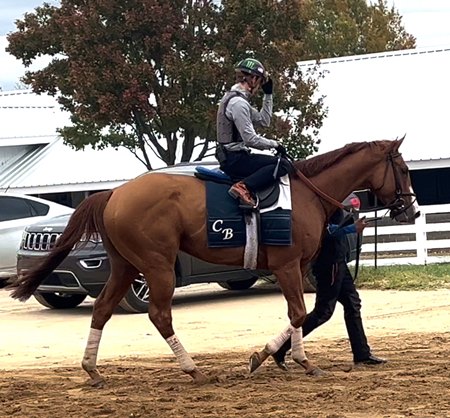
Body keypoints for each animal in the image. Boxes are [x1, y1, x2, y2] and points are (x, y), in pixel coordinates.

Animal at [10, 140, 418, 386]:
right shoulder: (288, 265)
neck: (307, 193)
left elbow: (300, 314)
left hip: (125, 266)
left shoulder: (298, 267)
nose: (411, 209)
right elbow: (300, 314)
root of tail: (114, 193)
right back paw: (193, 369)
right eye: (403, 169)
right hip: (156, 266)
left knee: (103, 310)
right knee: (159, 315)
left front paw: (269, 356)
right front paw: (295, 360)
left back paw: (92, 369)